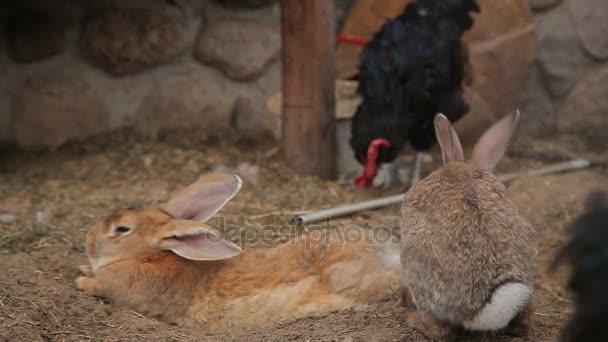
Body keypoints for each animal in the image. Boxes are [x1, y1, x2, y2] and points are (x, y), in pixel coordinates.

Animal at [76, 174, 402, 332]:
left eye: (121, 229)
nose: (88, 239)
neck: (151, 255)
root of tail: (387, 256)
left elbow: (101, 287)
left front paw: (81, 281)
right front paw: (82, 269)